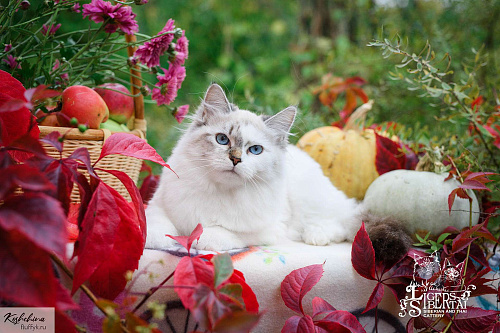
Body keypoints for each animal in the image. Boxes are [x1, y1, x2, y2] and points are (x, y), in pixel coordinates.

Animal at [145, 83, 364, 249]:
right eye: (222, 139)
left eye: (255, 150)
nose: (235, 159)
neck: (220, 191)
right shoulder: (159, 206)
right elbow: (155, 224)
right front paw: (157, 241)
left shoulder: (266, 229)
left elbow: (219, 232)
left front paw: (198, 237)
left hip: (311, 200)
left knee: (342, 222)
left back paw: (316, 235)